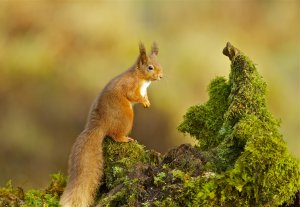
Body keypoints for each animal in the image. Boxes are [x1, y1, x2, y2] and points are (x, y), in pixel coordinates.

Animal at [60, 42, 164, 207]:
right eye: (150, 67)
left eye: (159, 64)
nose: (161, 76)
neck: (141, 78)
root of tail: (100, 126)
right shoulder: (130, 86)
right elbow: (133, 95)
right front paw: (143, 101)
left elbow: (145, 96)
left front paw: (147, 102)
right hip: (126, 117)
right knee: (115, 135)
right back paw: (125, 139)